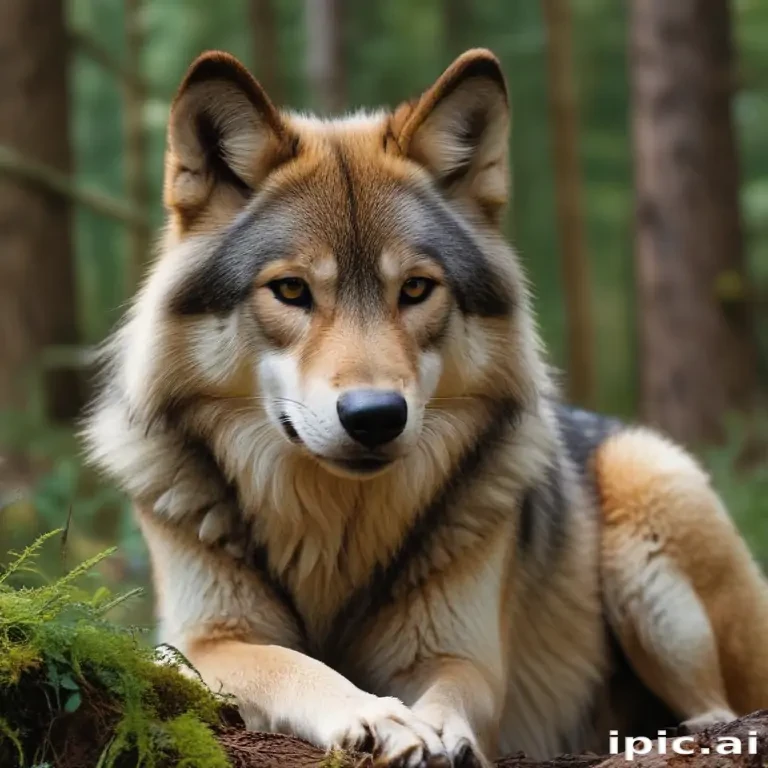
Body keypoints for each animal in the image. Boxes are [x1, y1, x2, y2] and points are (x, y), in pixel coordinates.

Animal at [85, 49, 768, 766]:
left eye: (415, 289)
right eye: (292, 290)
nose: (375, 415)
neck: (333, 537)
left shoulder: (459, 655)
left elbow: (454, 692)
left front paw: (439, 732)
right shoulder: (199, 643)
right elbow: (294, 665)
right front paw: (375, 715)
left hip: (650, 530)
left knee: (718, 703)